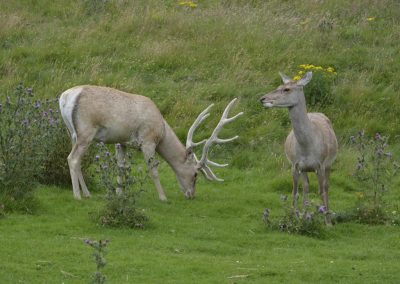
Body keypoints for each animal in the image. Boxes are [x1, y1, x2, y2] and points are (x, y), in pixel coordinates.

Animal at [57, 85, 242, 201]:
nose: (191, 195)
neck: (162, 131)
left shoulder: (121, 142)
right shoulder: (147, 140)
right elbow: (153, 170)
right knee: (72, 159)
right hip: (86, 131)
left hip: (72, 133)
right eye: (196, 174)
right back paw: (77, 196)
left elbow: (121, 168)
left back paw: (87, 193)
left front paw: (119, 193)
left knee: (77, 160)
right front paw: (163, 197)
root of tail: (65, 98)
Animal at [260, 71, 338, 224]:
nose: (262, 98)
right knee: (306, 187)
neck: (307, 147)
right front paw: (292, 217)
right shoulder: (295, 165)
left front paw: (326, 223)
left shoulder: (320, 164)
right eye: (278, 86)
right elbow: (295, 192)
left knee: (326, 187)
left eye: (286, 89)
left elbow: (321, 191)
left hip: (329, 163)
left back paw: (326, 215)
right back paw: (305, 214)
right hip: (304, 169)